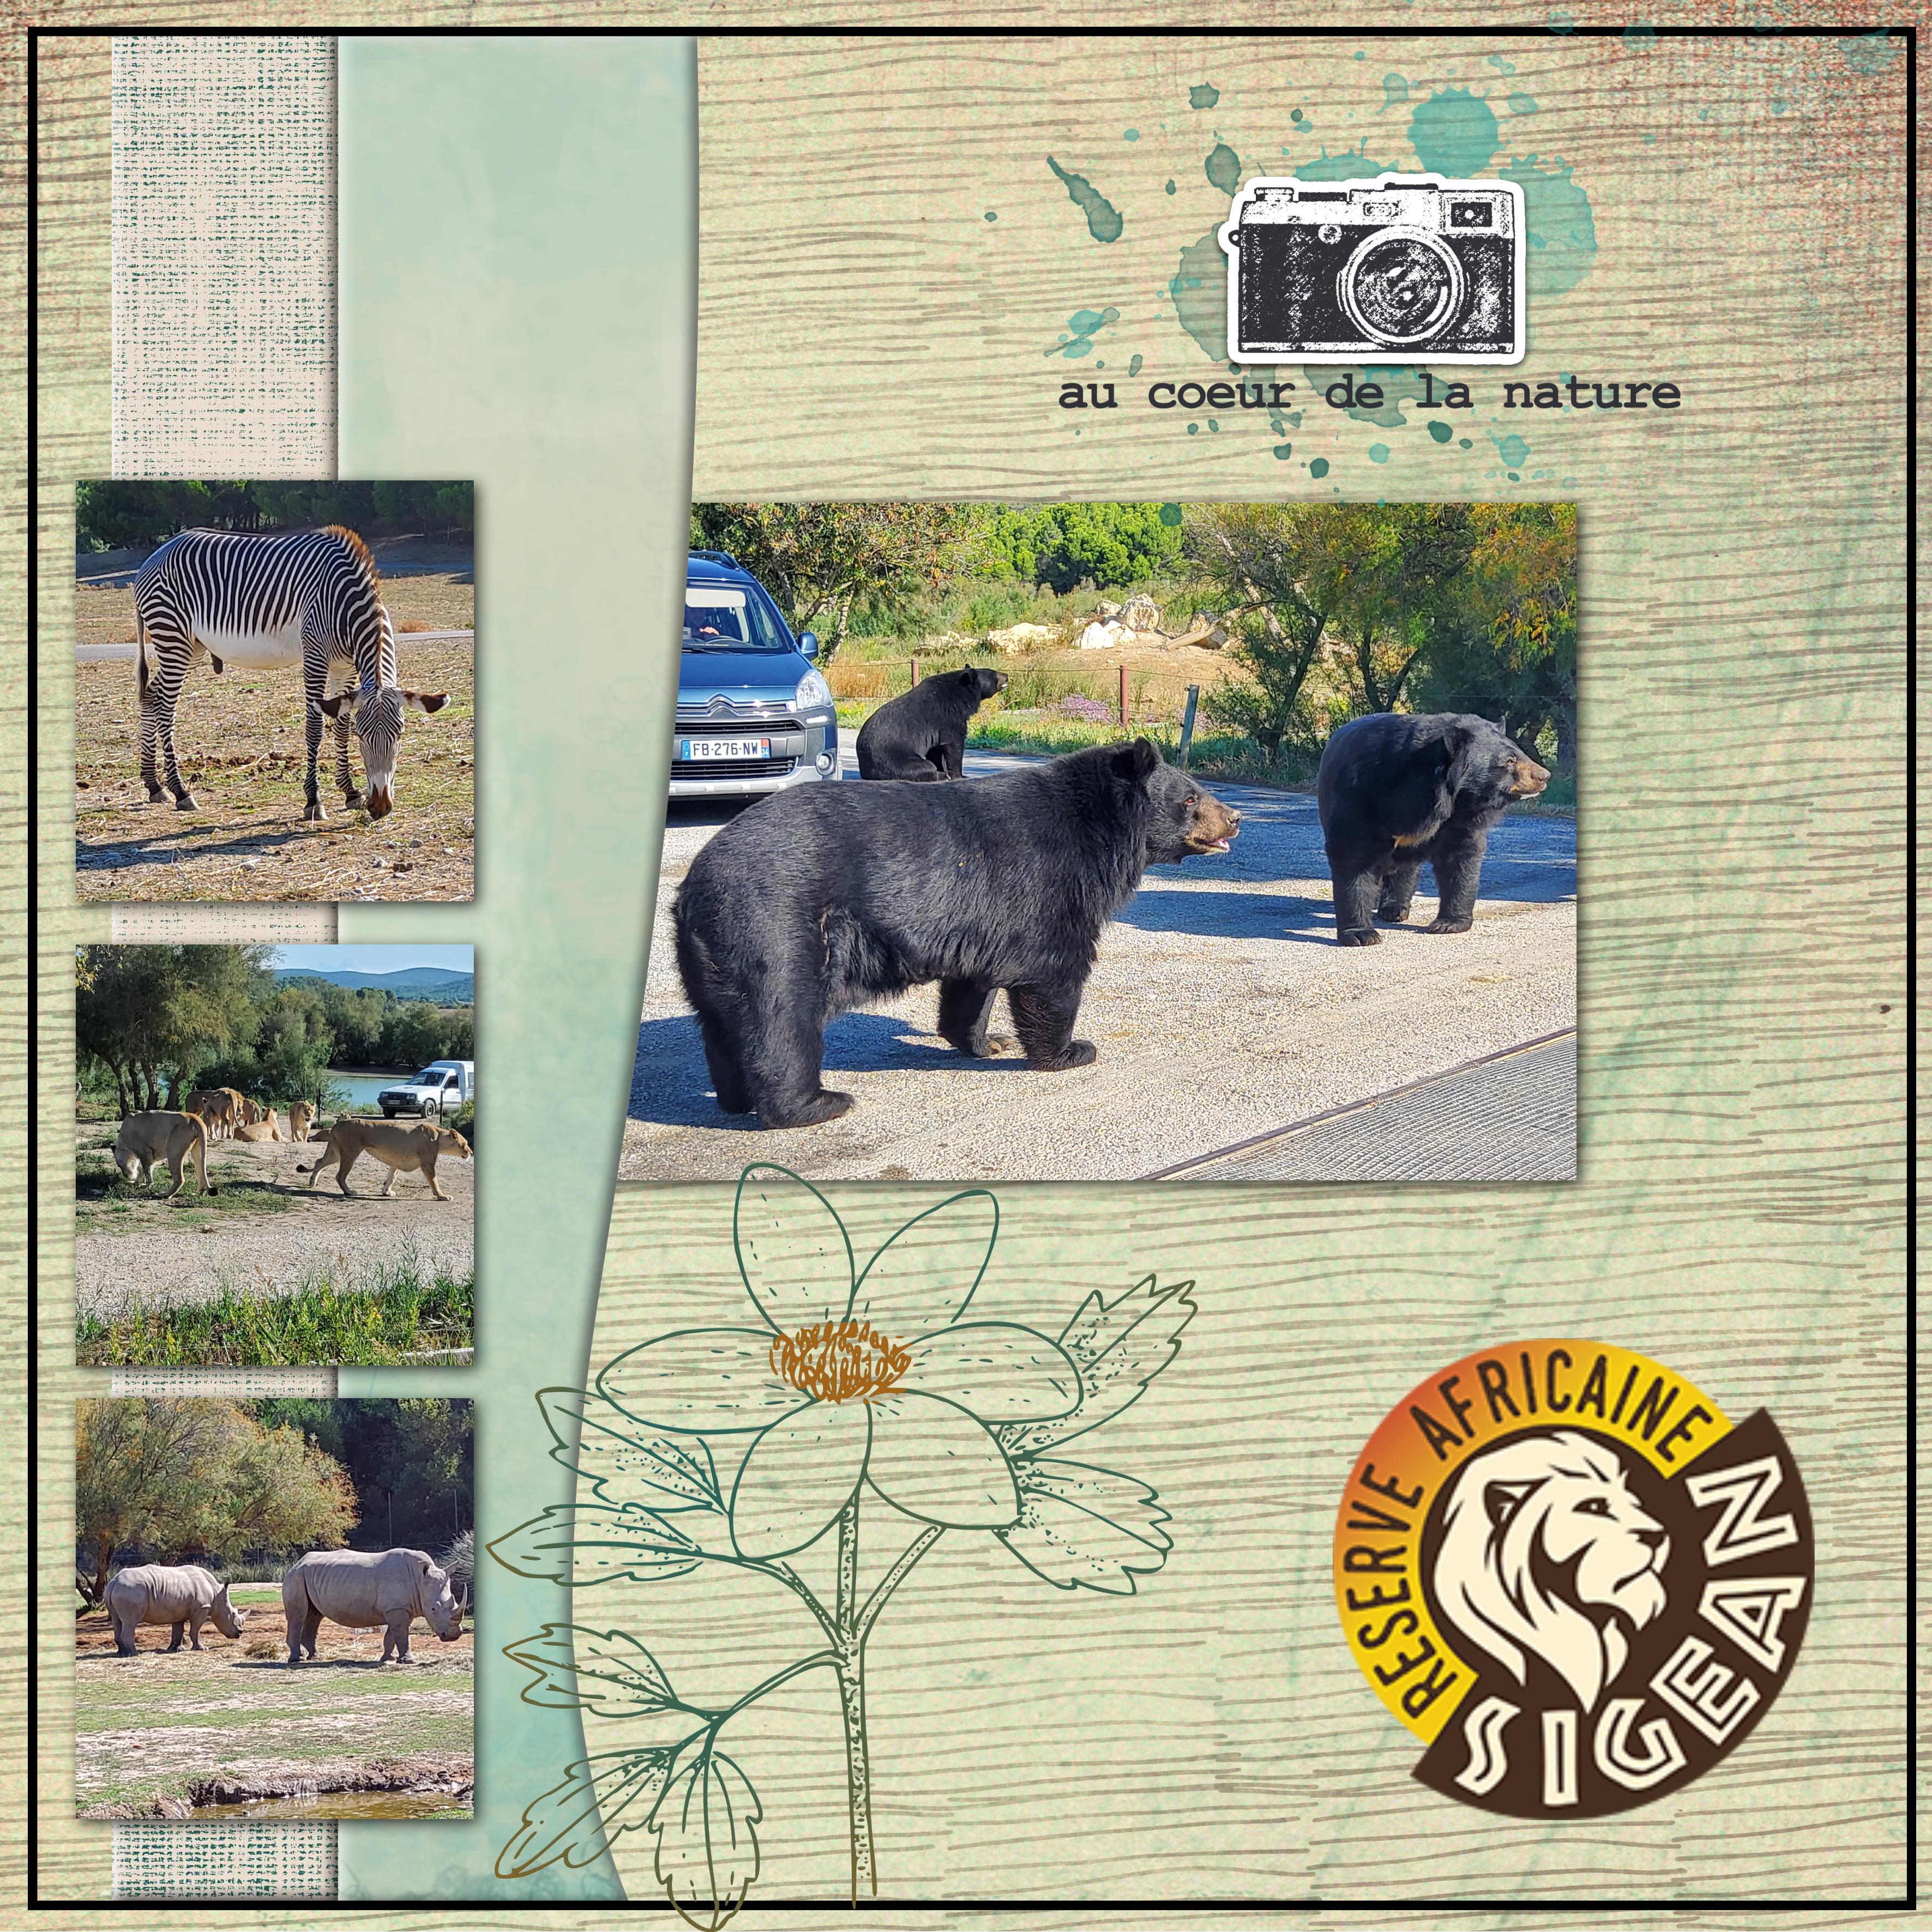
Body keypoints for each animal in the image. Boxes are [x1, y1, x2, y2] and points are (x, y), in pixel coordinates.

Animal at [105, 1563, 245, 1655]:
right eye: (233, 1615)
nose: (240, 1633)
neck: (217, 1594)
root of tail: (114, 1582)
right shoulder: (202, 1608)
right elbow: (195, 1630)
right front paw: (202, 1649)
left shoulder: (179, 1611)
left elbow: (178, 1631)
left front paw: (176, 1649)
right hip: (131, 1591)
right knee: (130, 1622)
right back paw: (134, 1653)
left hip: (120, 1591)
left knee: (118, 1621)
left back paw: (122, 1653)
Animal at [280, 1547, 465, 1665]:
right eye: (434, 1609)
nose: (453, 1636)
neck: (421, 1580)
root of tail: (297, 1564)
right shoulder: (397, 1609)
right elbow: (402, 1634)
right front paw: (409, 1661)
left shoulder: (401, 1609)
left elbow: (393, 1636)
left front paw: (388, 1659)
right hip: (296, 1577)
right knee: (299, 1615)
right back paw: (297, 1660)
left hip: (309, 1576)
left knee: (315, 1614)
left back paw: (316, 1657)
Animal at [296, 1118, 472, 1200]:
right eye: (465, 1144)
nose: (471, 1153)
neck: (439, 1136)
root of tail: (339, 1123)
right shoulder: (428, 1164)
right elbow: (435, 1182)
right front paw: (443, 1196)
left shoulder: (397, 1161)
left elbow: (391, 1177)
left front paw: (387, 1192)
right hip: (350, 1153)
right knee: (340, 1176)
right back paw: (349, 1192)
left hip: (336, 1153)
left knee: (319, 1162)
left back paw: (312, 1182)